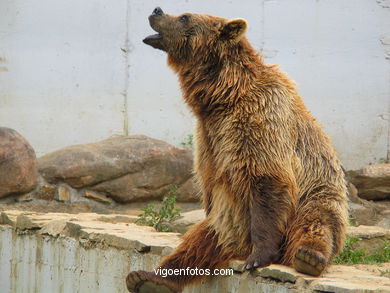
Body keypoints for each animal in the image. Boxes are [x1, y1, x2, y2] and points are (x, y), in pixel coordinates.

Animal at [126, 6, 348, 292]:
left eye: (185, 17)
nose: (156, 10)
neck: (224, 94)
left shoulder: (259, 117)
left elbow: (267, 177)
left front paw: (259, 256)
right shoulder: (209, 136)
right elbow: (209, 185)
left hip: (318, 194)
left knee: (317, 221)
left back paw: (309, 256)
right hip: (230, 222)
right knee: (202, 239)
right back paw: (148, 278)